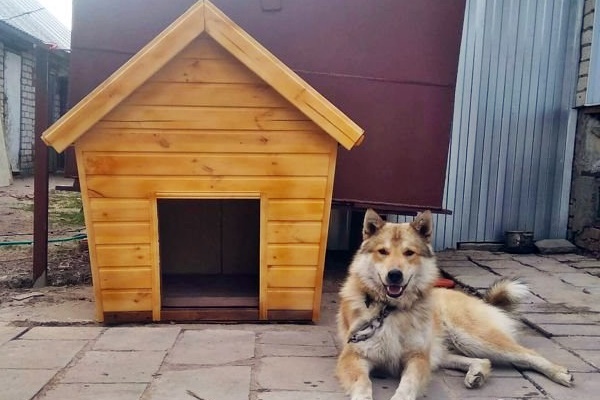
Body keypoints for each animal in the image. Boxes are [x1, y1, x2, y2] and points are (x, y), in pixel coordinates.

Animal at [336, 209, 576, 400]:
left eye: (409, 253)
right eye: (383, 252)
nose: (394, 275)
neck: (390, 309)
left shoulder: (418, 358)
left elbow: (408, 384)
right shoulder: (353, 356)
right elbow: (363, 384)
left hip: (473, 337)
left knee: (528, 355)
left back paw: (559, 373)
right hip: (446, 349)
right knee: (484, 360)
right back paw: (477, 373)